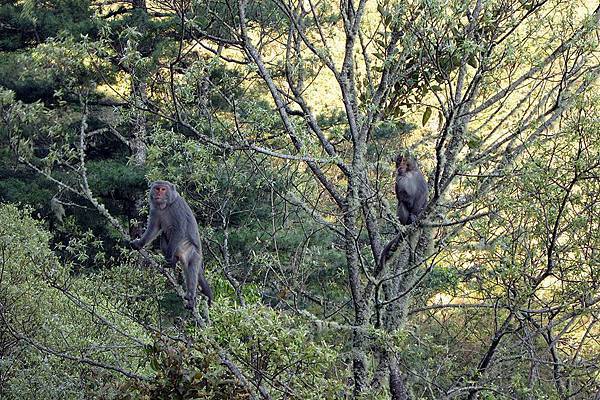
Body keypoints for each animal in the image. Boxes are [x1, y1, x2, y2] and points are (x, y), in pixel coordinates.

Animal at [131, 181, 213, 310]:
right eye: (157, 188)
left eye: (163, 189)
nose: (158, 193)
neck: (165, 206)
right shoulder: (155, 210)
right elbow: (154, 229)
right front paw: (140, 243)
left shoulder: (177, 208)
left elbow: (179, 230)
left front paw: (169, 256)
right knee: (164, 235)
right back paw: (173, 262)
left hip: (192, 252)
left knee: (191, 268)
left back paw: (190, 295)